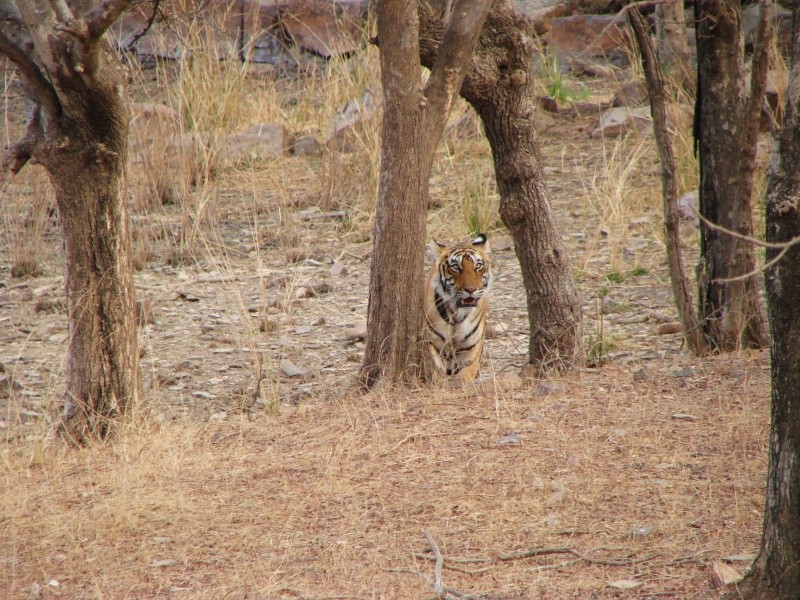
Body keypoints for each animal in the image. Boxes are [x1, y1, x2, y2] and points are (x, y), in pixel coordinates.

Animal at [424, 232, 488, 382]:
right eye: (455, 267)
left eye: (478, 266)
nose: (471, 289)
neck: (456, 314)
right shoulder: (433, 345)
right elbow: (437, 371)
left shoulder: (471, 351)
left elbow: (464, 377)